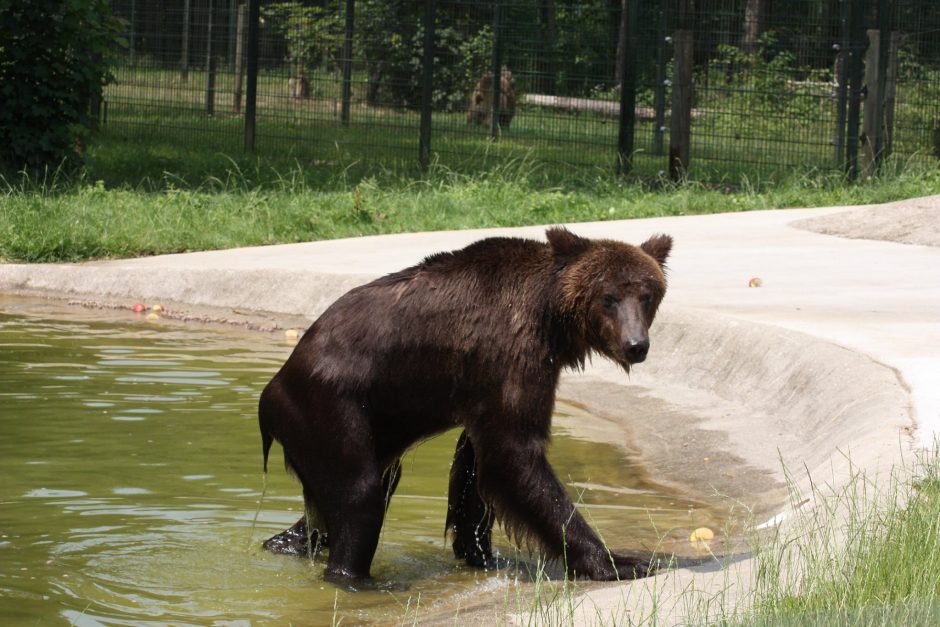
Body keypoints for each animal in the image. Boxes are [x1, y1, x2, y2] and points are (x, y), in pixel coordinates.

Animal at [258, 229, 668, 584]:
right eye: (608, 297)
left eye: (647, 295)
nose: (636, 345)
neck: (551, 319)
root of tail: (271, 391)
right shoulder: (512, 353)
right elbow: (515, 454)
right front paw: (619, 561)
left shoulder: (483, 388)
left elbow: (476, 470)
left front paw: (482, 554)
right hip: (328, 406)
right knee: (359, 495)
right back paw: (354, 576)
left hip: (377, 422)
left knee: (350, 495)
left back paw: (285, 542)